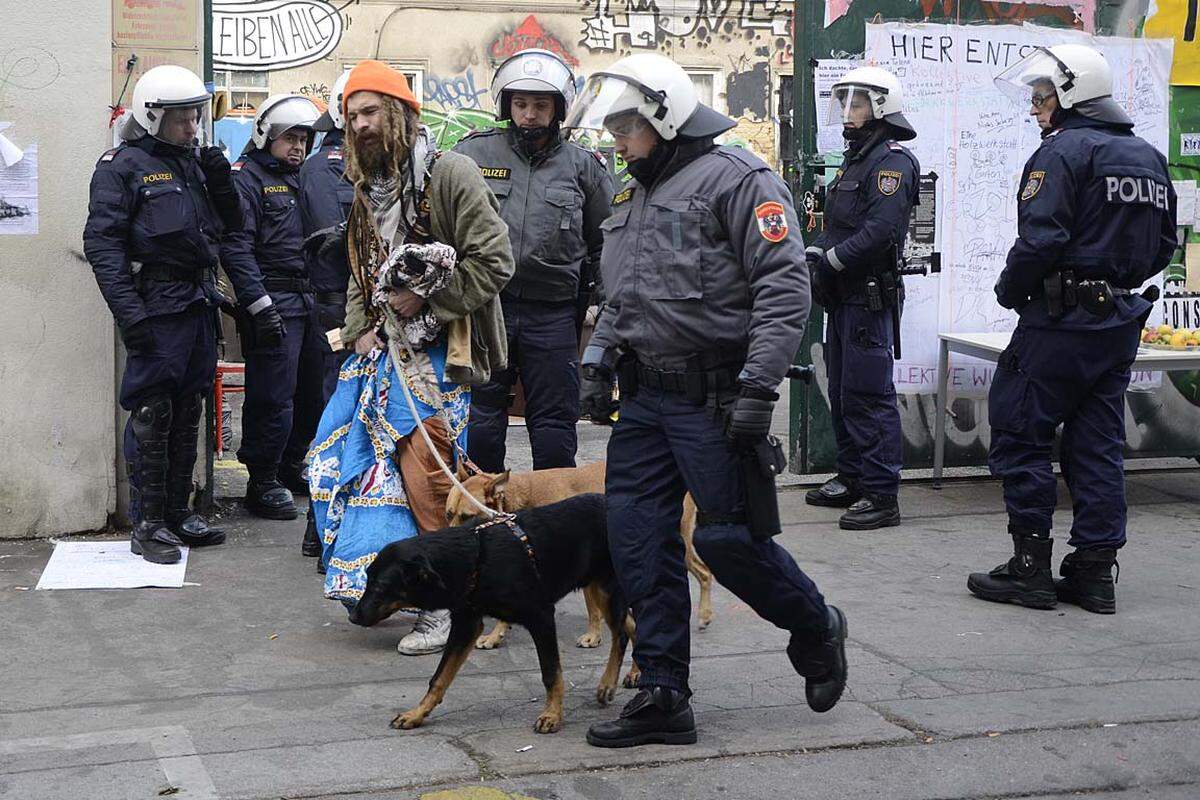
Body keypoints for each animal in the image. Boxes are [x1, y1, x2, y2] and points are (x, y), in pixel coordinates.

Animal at [348, 496, 633, 734]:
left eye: (380, 586)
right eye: (367, 578)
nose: (354, 617)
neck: (476, 557)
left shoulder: (541, 617)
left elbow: (551, 672)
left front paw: (552, 715)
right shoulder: (466, 625)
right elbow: (439, 677)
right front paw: (417, 713)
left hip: (607, 589)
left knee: (621, 634)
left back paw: (608, 683)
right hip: (599, 587)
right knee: (632, 626)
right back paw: (634, 675)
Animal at [448, 460, 710, 652]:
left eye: (466, 516)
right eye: (448, 513)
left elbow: (592, 608)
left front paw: (594, 636)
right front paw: (495, 636)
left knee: (704, 573)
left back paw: (703, 615)